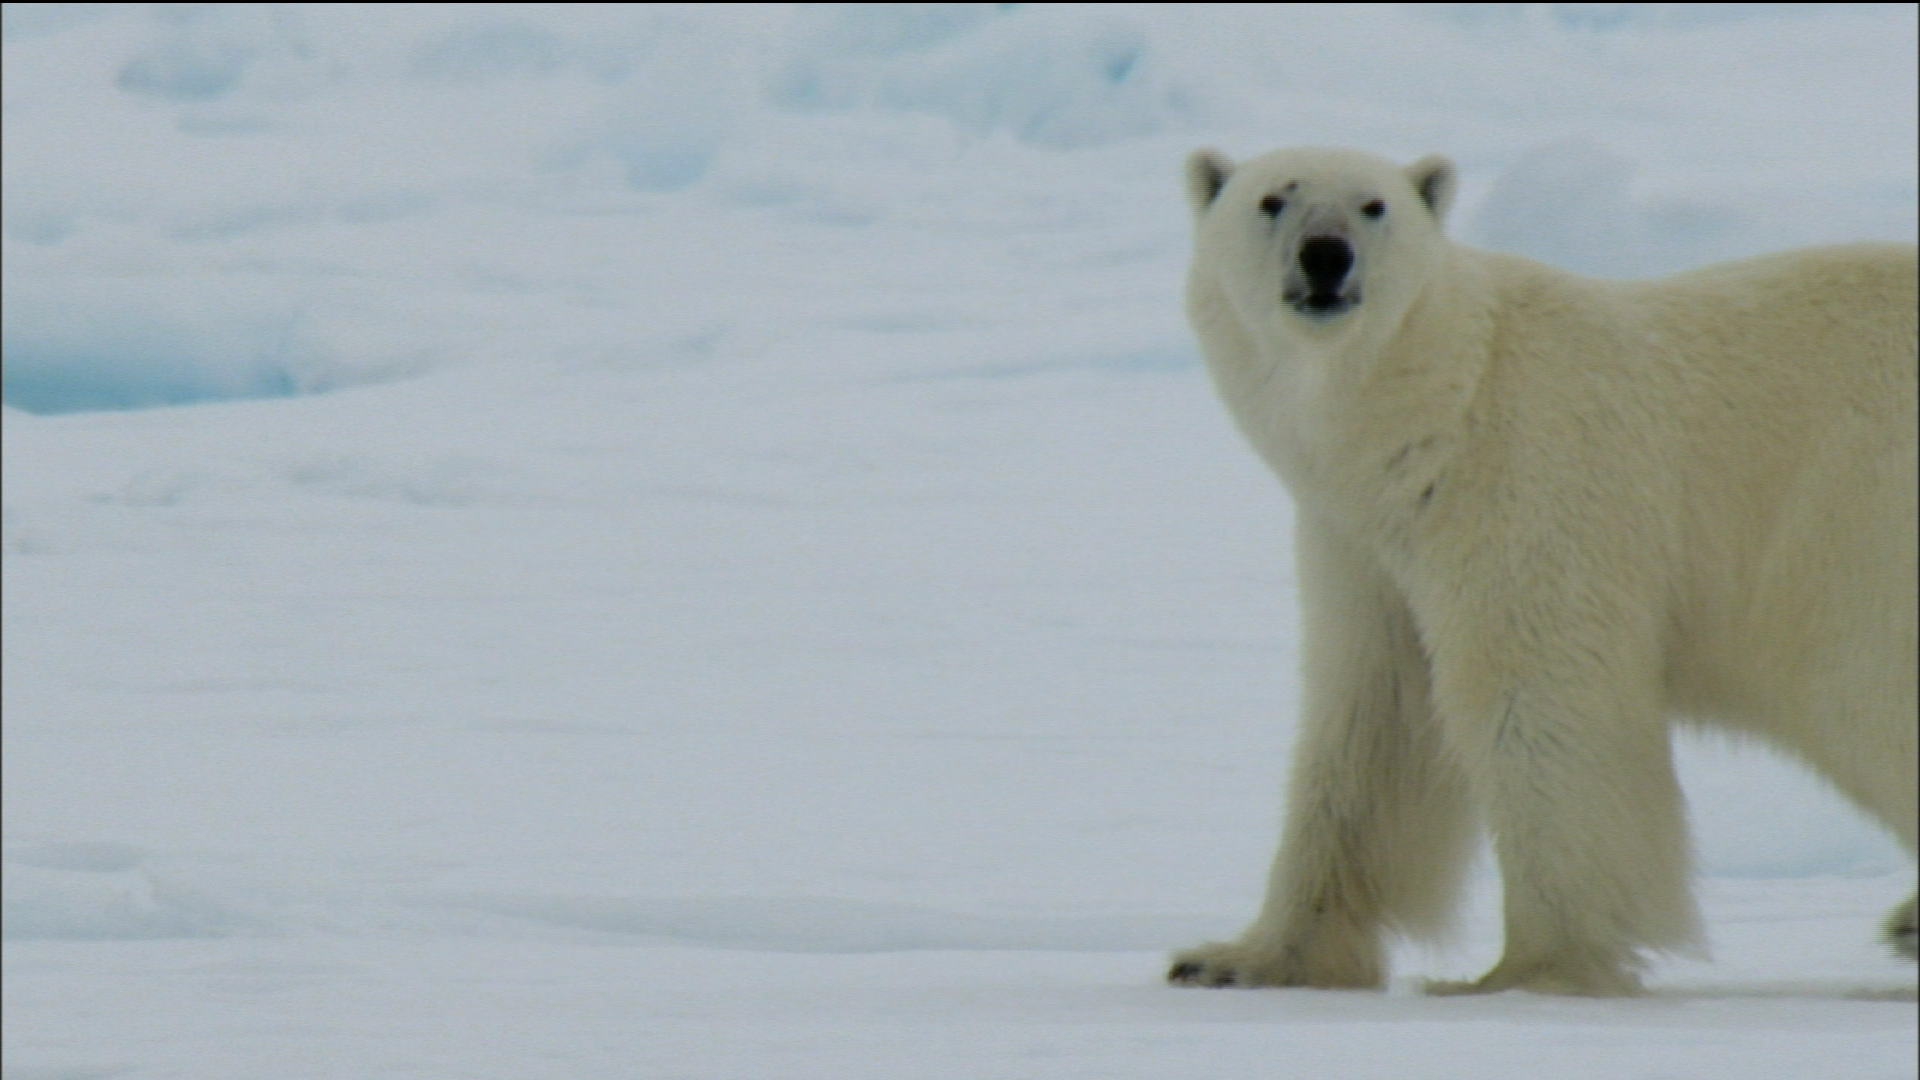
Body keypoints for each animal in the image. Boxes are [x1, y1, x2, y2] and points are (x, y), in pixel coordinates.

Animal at [1167, 145, 1920, 991]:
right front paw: (1235, 958)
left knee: (1856, 685)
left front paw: (1525, 969)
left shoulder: (1526, 479)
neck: (1439, 405)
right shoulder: (1361, 545)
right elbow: (1373, 720)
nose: (1326, 255)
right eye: (1274, 199)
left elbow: (1538, 697)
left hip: (1855, 508)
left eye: (1373, 205)